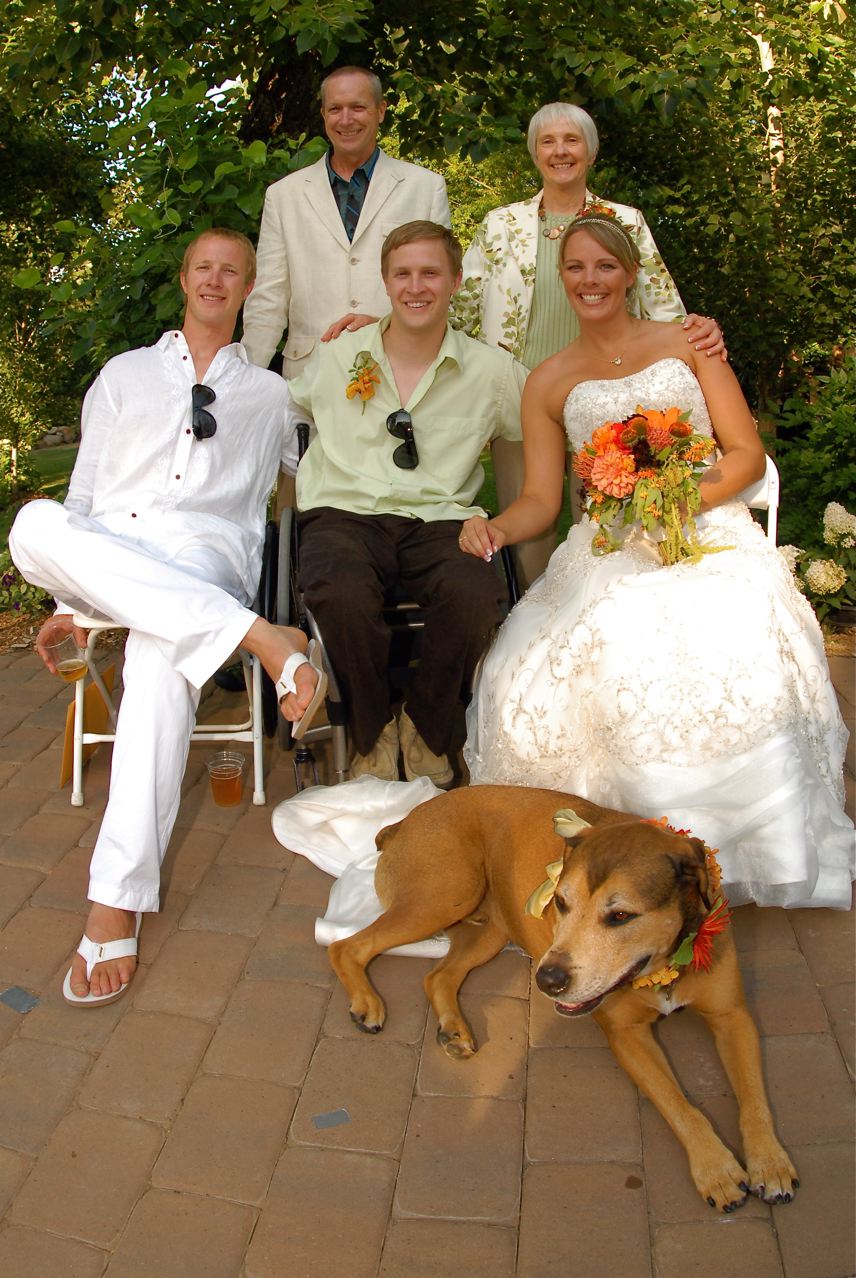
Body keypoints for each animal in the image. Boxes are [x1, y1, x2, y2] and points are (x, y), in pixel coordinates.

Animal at [327, 785, 798, 1212]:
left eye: (621, 915)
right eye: (560, 902)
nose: (548, 979)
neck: (665, 963)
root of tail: (404, 821)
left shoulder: (732, 1015)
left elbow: (754, 1099)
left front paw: (770, 1163)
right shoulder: (627, 1035)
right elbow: (679, 1103)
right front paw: (716, 1170)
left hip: (488, 928)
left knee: (436, 975)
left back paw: (453, 1030)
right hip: (443, 894)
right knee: (346, 946)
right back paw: (367, 1004)